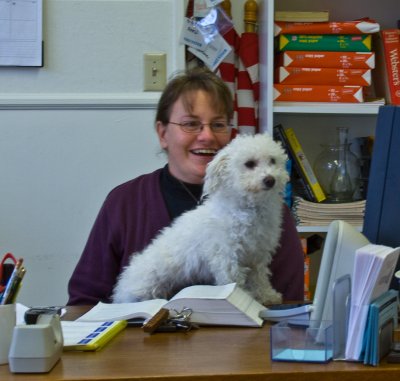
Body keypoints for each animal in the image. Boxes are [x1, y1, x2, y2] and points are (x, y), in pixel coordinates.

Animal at [111, 132, 288, 304]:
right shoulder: (227, 256)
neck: (249, 210)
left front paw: (267, 296)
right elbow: (235, 281)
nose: (270, 180)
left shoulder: (258, 255)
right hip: (147, 286)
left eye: (272, 160)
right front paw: (242, 298)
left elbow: (260, 278)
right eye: (249, 163)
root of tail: (120, 289)